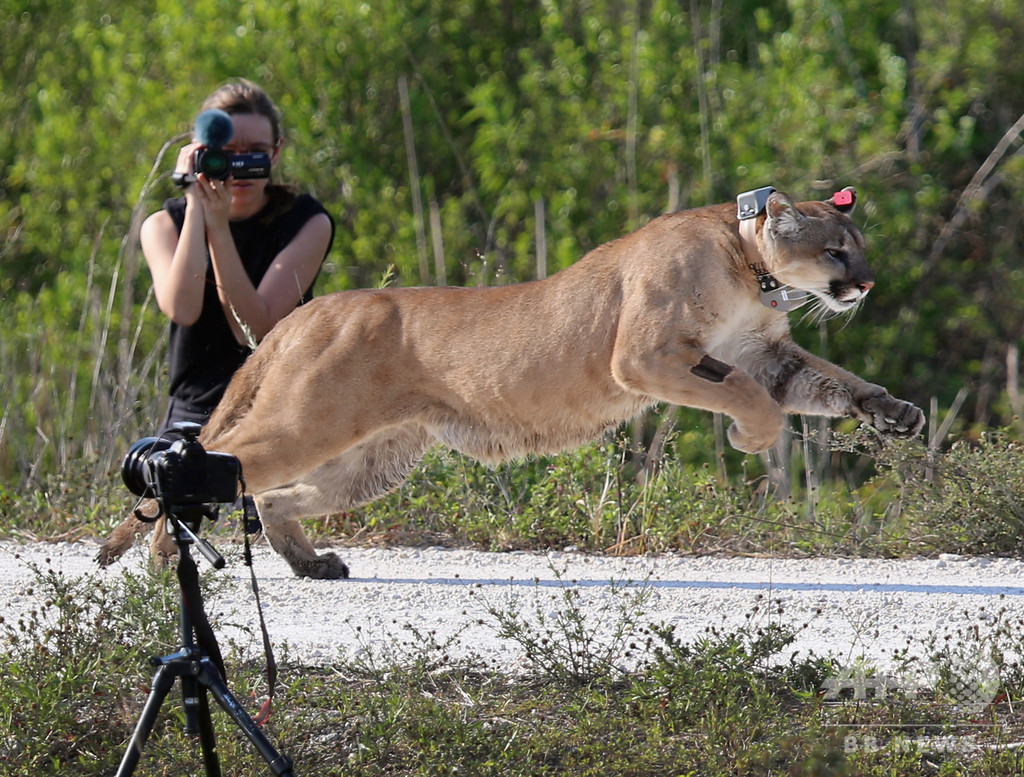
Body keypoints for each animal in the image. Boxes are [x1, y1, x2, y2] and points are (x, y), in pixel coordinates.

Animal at [97, 187, 929, 577]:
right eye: (836, 249)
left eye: (858, 246)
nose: (866, 282)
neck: (750, 268)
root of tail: (312, 309)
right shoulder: (647, 356)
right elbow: (748, 396)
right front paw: (751, 435)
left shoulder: (761, 352)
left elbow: (831, 383)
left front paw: (895, 413)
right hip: (309, 421)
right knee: (217, 460)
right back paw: (161, 556)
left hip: (371, 459)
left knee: (272, 492)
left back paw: (310, 563)